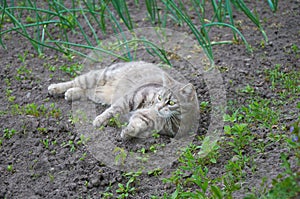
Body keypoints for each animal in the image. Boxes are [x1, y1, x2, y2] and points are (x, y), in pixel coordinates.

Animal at [47, 61, 196, 139]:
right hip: (96, 77)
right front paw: (100, 120)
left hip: (100, 94)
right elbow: (112, 110)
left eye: (171, 102)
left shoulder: (146, 119)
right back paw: (55, 88)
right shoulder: (132, 97)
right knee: (75, 81)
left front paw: (127, 132)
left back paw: (72, 93)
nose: (158, 107)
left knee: (87, 91)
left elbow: (136, 126)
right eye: (159, 97)